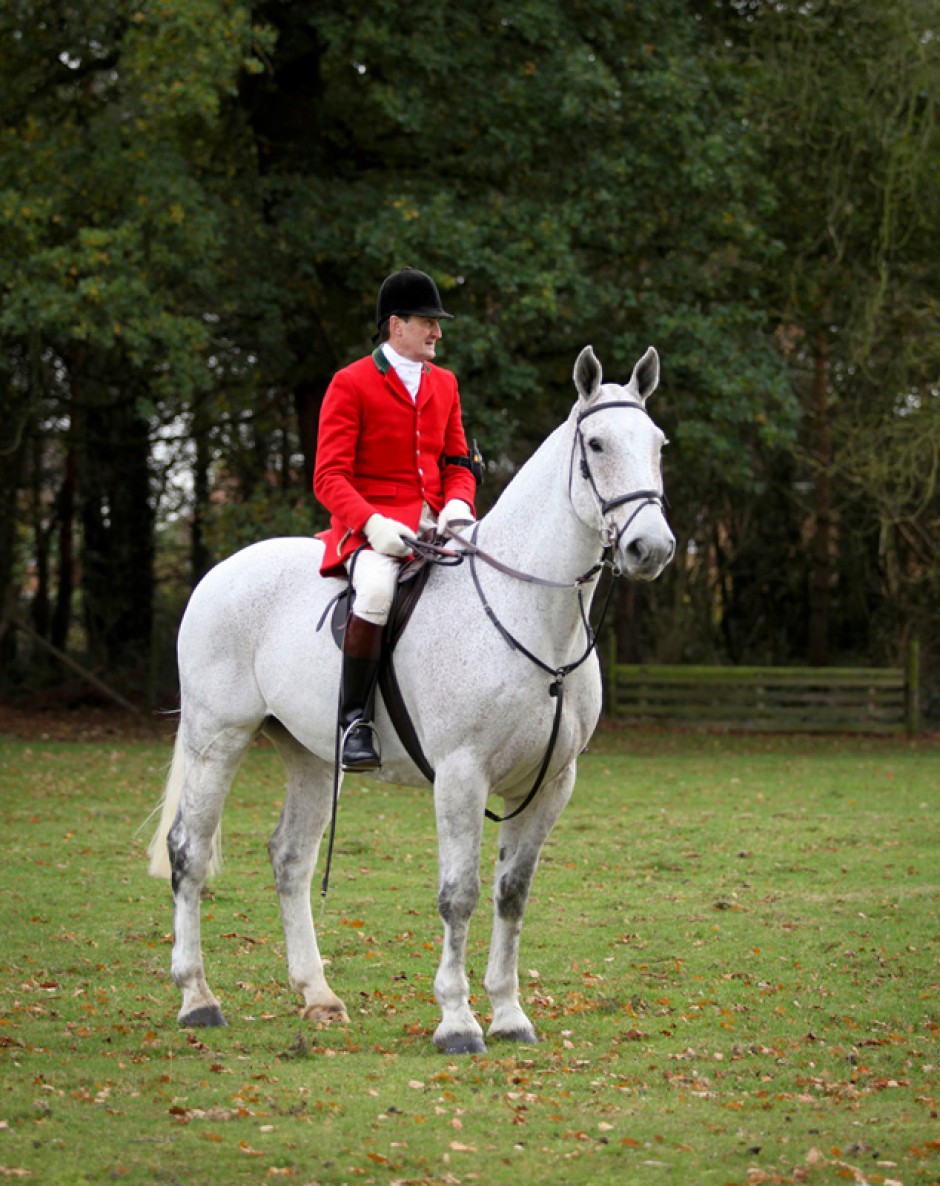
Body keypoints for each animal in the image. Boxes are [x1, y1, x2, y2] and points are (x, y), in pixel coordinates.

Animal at [146, 346, 673, 1057]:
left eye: (658, 444)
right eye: (596, 444)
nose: (653, 548)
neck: (530, 613)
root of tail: (222, 571)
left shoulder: (552, 781)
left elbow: (512, 894)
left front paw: (509, 1014)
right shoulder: (461, 774)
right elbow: (460, 894)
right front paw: (458, 1021)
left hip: (310, 753)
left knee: (290, 859)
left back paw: (318, 996)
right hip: (217, 738)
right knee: (188, 852)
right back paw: (197, 998)